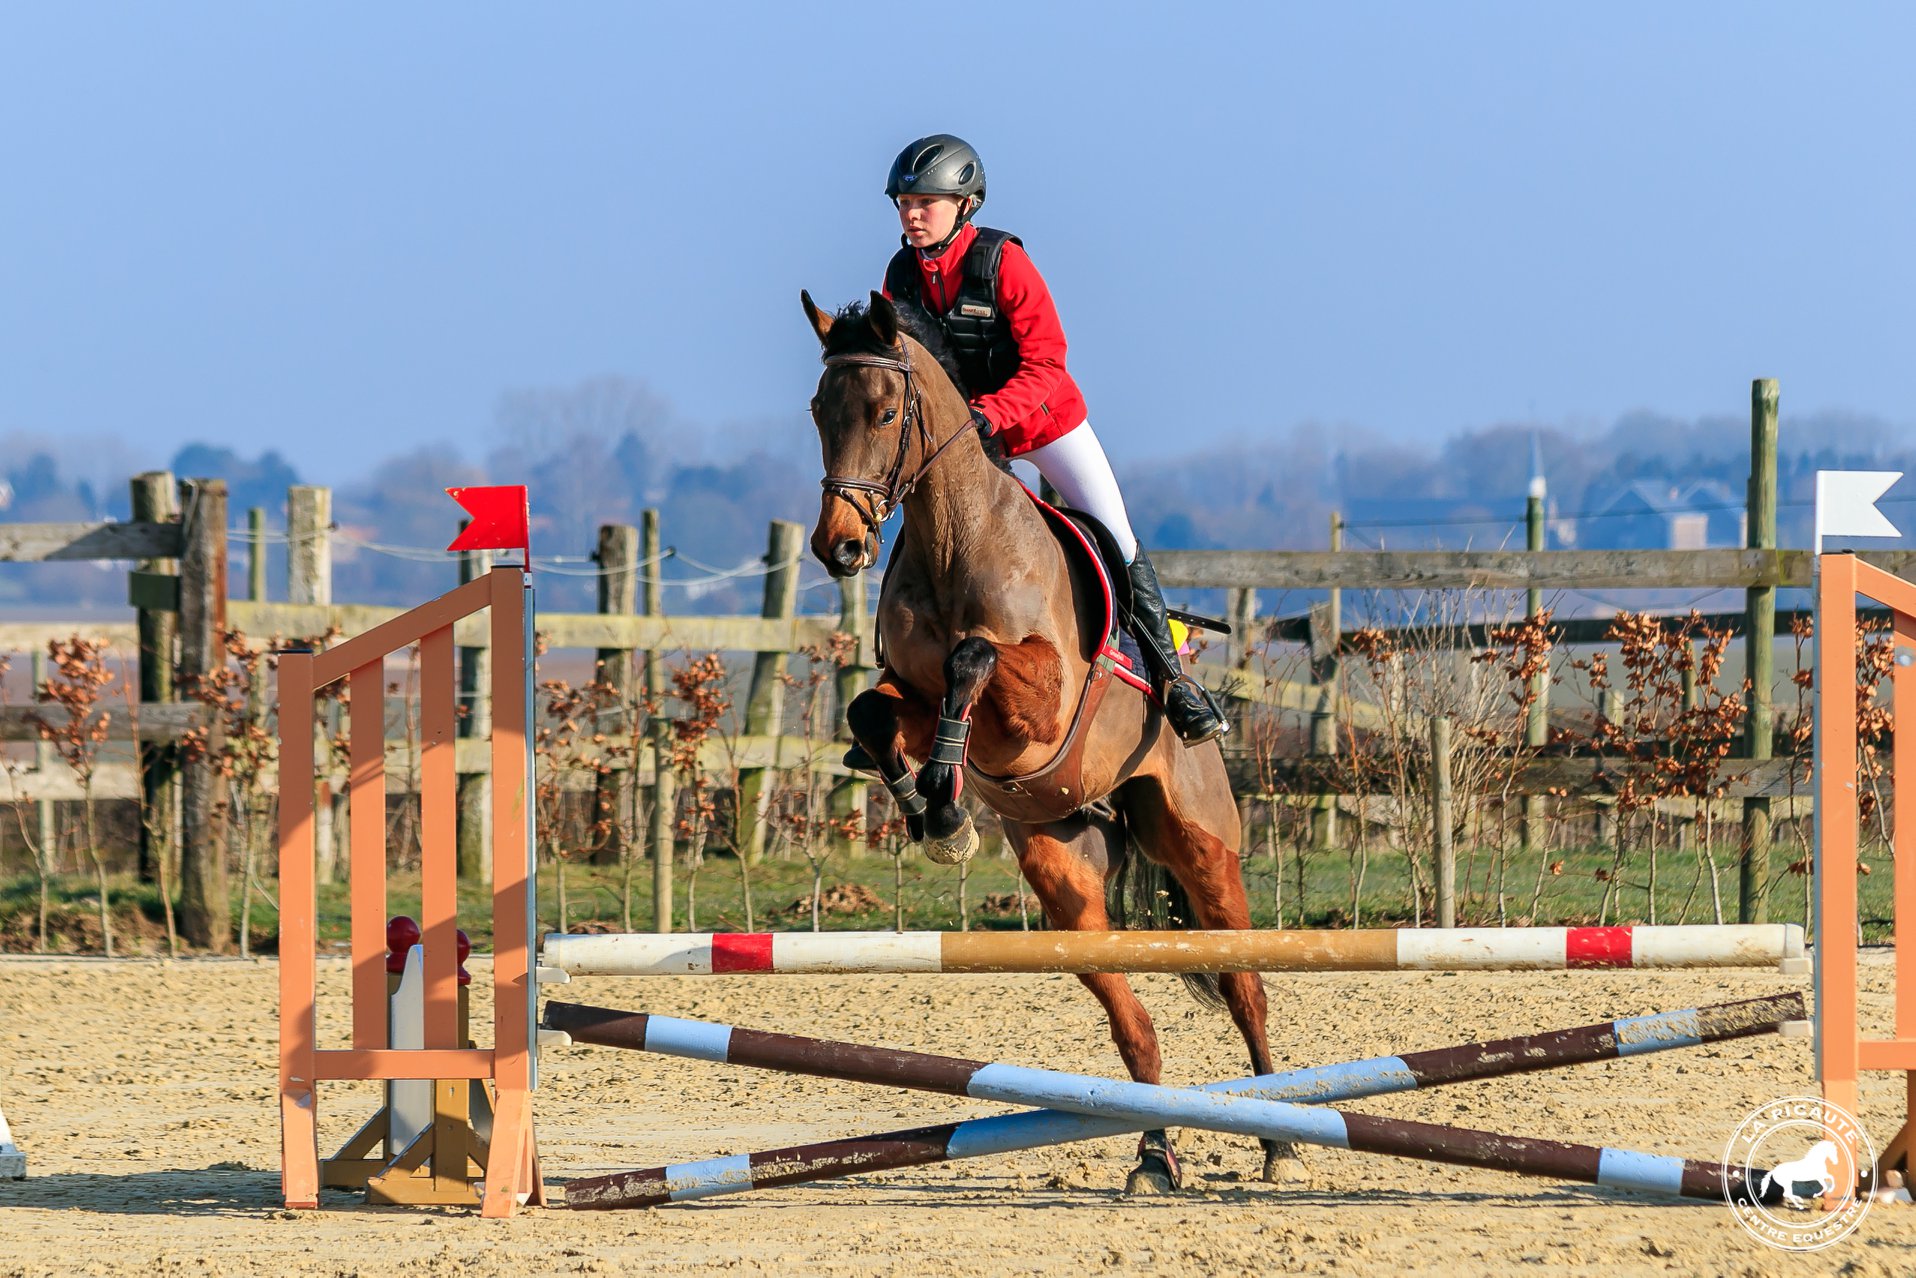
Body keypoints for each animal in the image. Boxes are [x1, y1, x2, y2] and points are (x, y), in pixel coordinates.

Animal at [793, 287, 1302, 1187]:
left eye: (885, 412)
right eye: (819, 411)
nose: (838, 546)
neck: (954, 536)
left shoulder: (1041, 699)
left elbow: (974, 658)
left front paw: (943, 795)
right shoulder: (913, 693)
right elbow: (874, 712)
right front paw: (936, 814)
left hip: (1202, 847)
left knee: (1246, 989)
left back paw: (1279, 1145)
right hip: (1066, 874)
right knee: (1133, 1025)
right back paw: (1153, 1155)